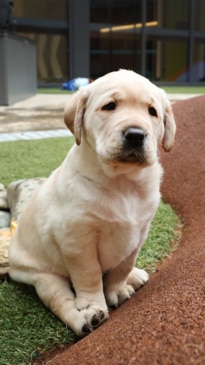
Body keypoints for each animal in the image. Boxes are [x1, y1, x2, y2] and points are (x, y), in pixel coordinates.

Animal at [9, 68, 176, 336]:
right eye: (109, 106)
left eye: (152, 111)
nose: (136, 134)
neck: (122, 182)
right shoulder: (76, 238)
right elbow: (89, 275)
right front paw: (92, 303)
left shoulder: (140, 230)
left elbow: (123, 265)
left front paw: (118, 288)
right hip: (41, 275)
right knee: (60, 300)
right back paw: (86, 319)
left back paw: (135, 276)